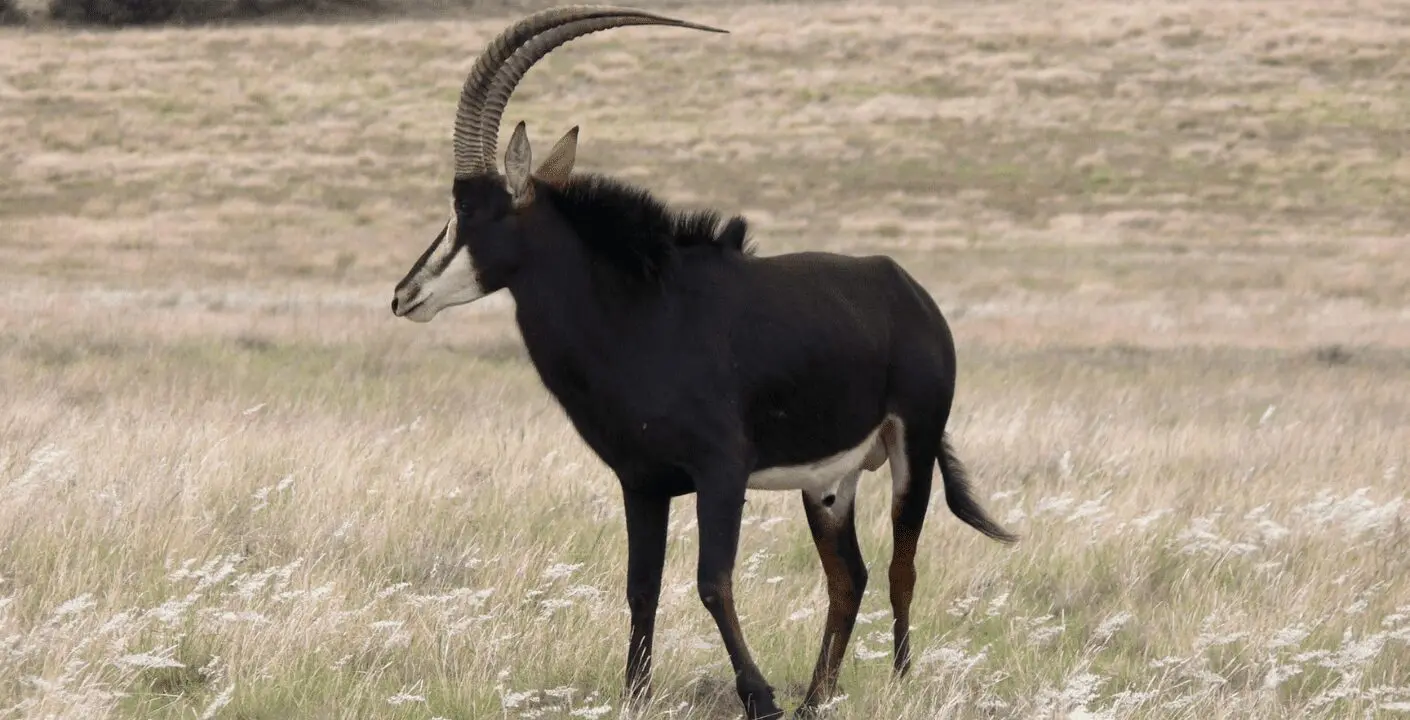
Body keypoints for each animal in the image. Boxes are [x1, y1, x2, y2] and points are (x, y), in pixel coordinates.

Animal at [388, 6, 1018, 718]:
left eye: (468, 209)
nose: (405, 294)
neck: (640, 310)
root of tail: (910, 292)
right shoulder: (642, 482)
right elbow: (642, 587)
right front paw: (636, 694)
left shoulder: (721, 472)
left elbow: (712, 581)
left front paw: (760, 697)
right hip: (828, 483)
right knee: (849, 577)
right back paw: (816, 700)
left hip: (915, 447)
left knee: (899, 566)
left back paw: (899, 683)